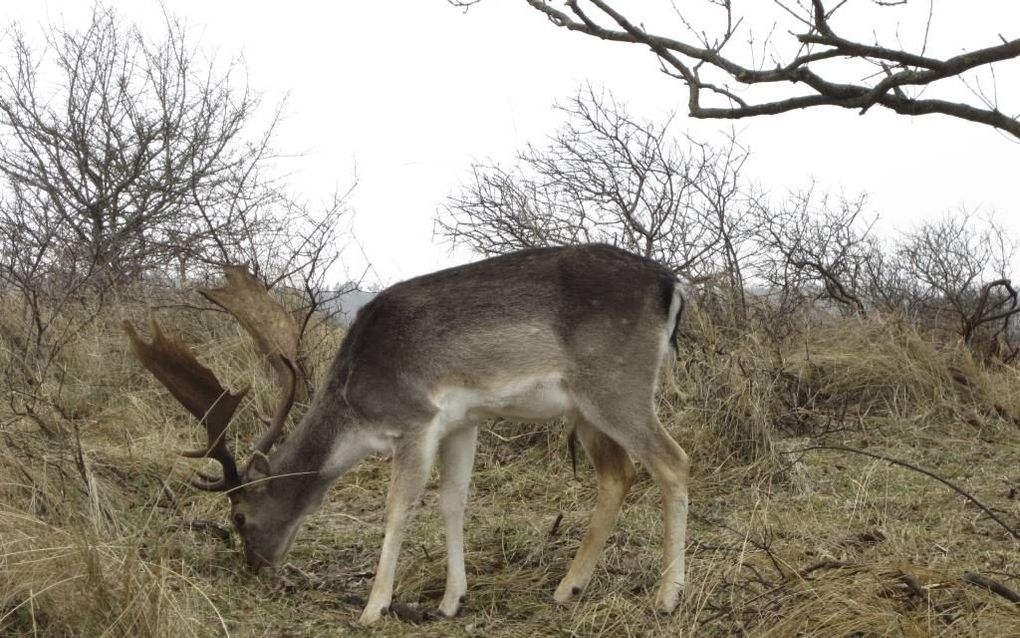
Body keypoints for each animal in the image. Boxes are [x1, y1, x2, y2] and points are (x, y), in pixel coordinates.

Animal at [123, 242, 689, 620]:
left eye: (239, 516)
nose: (255, 566)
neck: (357, 407)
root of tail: (673, 287)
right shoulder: (463, 421)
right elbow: (453, 502)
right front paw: (450, 601)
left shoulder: (416, 418)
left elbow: (398, 509)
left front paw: (373, 607)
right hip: (586, 408)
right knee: (618, 474)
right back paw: (567, 588)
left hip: (616, 385)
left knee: (673, 461)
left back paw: (666, 597)